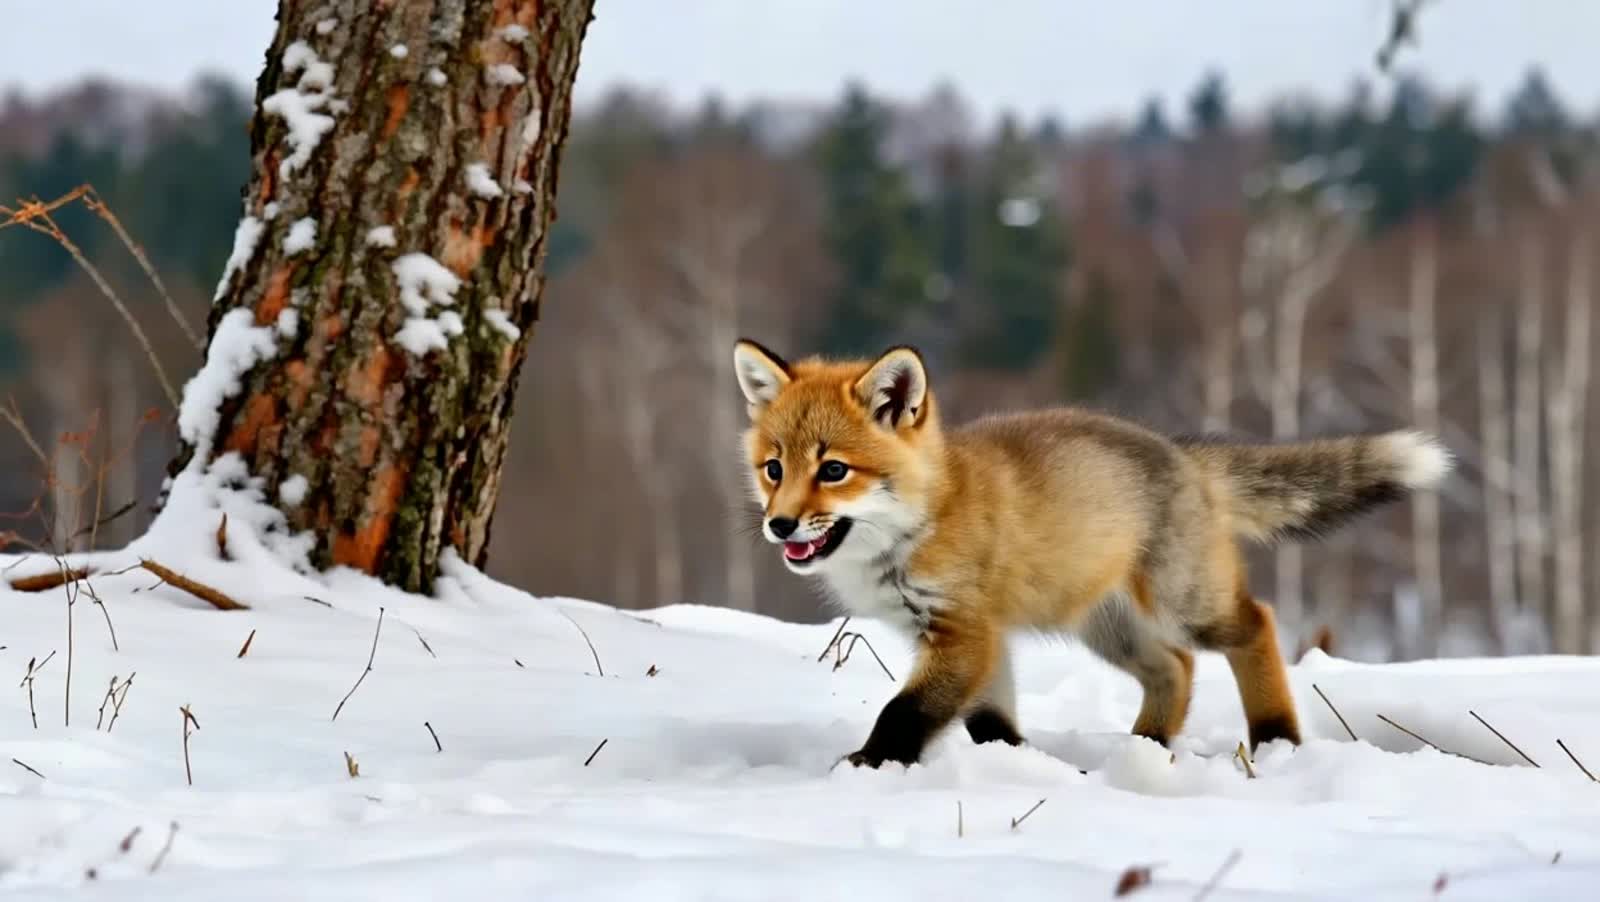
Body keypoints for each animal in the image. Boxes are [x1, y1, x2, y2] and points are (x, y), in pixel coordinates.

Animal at [732, 338, 1452, 769]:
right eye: (774, 468)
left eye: (833, 471)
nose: (780, 525)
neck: (926, 519)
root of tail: (1182, 453)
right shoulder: (975, 639)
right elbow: (989, 722)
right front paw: (1027, 769)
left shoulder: (962, 632)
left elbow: (903, 710)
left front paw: (870, 766)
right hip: (1107, 629)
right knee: (1176, 669)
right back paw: (1148, 749)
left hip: (1185, 604)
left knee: (1256, 625)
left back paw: (1276, 737)